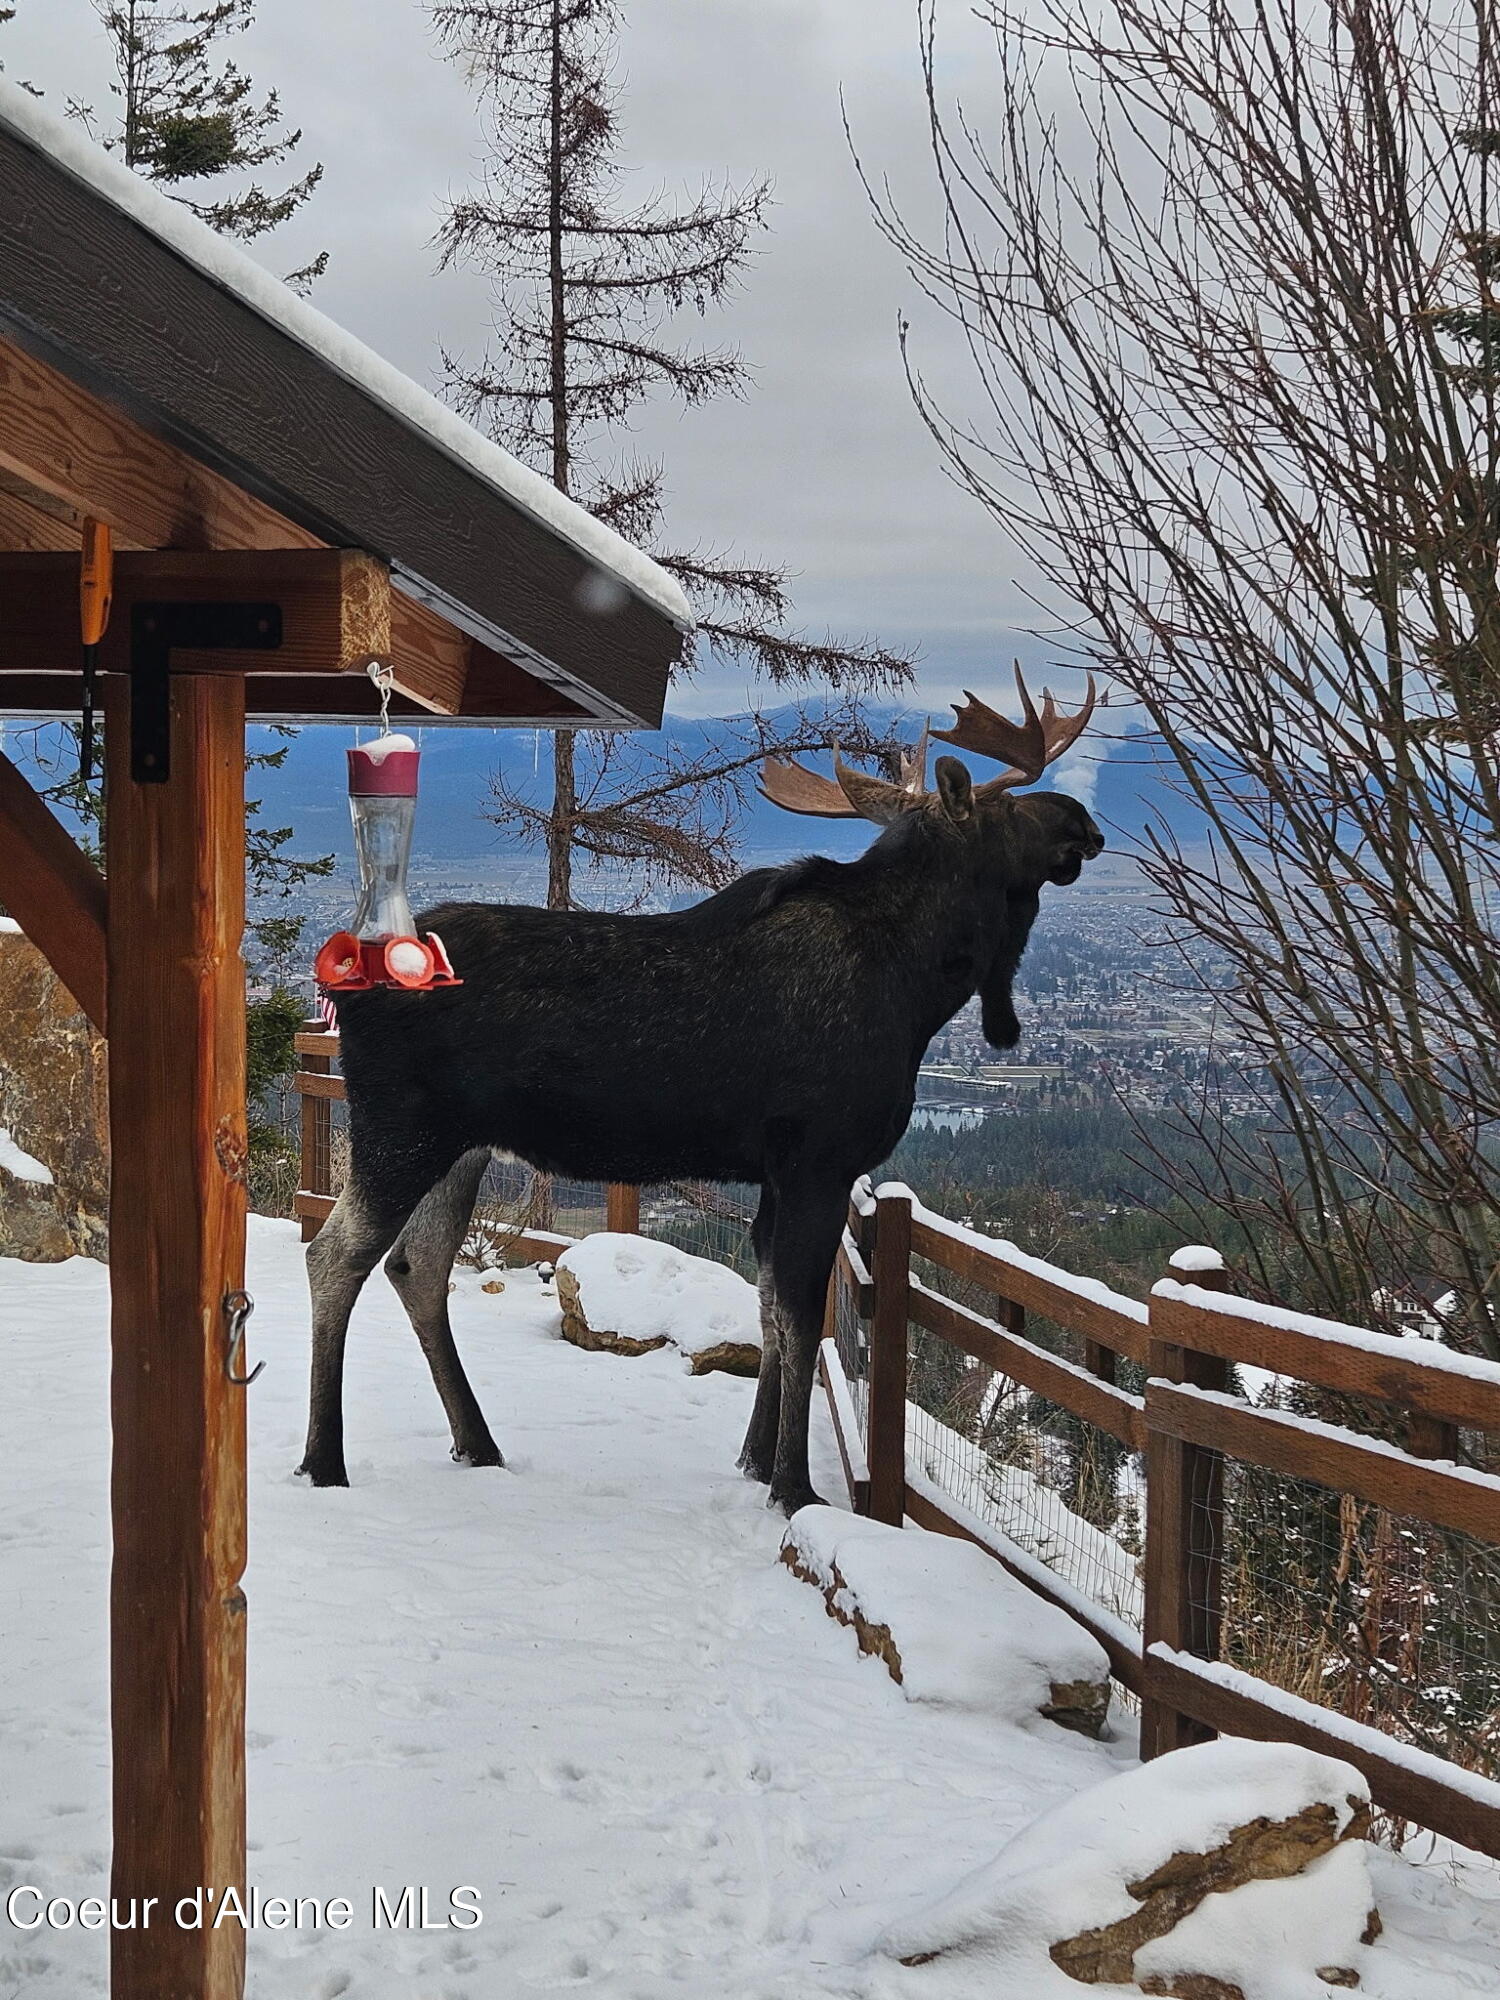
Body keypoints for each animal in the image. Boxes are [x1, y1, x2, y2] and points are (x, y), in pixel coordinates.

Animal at [299, 671, 1103, 1514]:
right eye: (1007, 807)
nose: (1081, 821)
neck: (923, 986)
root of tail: (342, 985)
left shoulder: (778, 1173)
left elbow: (773, 1311)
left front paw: (754, 1459)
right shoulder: (819, 1160)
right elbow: (803, 1318)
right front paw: (794, 1486)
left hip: (461, 1145)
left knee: (416, 1268)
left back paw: (477, 1441)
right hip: (402, 1130)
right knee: (335, 1256)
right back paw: (325, 1459)